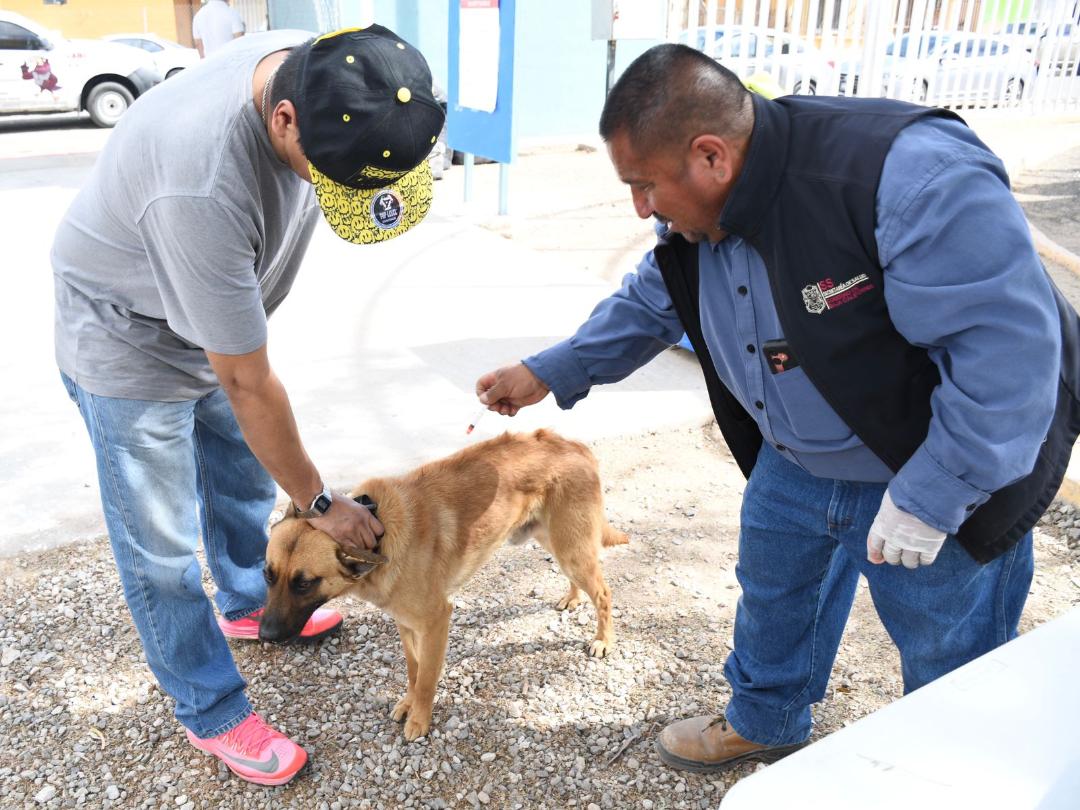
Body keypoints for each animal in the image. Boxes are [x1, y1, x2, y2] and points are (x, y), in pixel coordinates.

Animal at [261, 432, 630, 743]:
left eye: (304, 583)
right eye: (267, 575)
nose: (264, 635)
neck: (380, 531)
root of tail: (574, 445)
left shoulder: (437, 620)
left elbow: (426, 677)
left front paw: (419, 719)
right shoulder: (405, 622)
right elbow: (413, 669)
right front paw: (408, 703)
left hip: (570, 549)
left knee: (604, 593)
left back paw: (603, 640)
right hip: (556, 542)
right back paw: (572, 599)